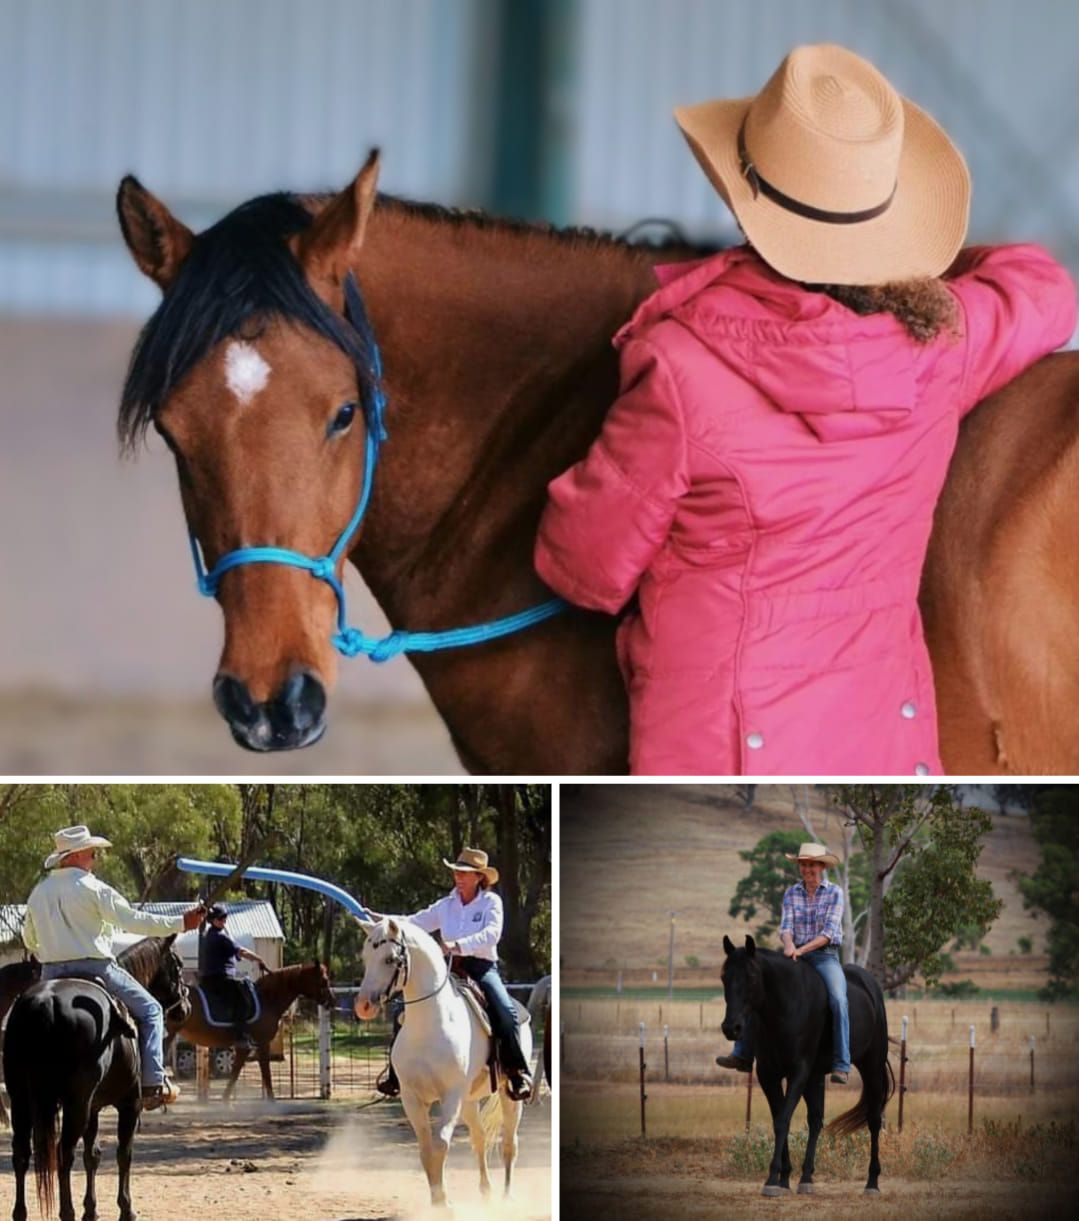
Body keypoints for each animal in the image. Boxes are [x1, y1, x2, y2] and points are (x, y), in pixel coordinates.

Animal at [3, 937, 187, 1221]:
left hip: (22, 1098)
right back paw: (66, 1211)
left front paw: (91, 1209)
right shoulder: (129, 1103)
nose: (186, 1008)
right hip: (74, 1104)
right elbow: (124, 1153)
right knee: (64, 1152)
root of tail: (46, 1003)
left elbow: (93, 1155)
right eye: (177, 965)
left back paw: (20, 1212)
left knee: (22, 1153)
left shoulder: (94, 1107)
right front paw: (126, 1209)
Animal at [175, 957, 332, 1103]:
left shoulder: (245, 1048)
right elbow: (265, 1073)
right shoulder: (262, 1043)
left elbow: (236, 1071)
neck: (267, 999)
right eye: (324, 980)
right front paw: (272, 1101)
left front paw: (225, 1101)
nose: (331, 1001)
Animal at [353, 918, 532, 1206]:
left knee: (509, 1143)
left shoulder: (450, 1096)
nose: (363, 1007)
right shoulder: (412, 1098)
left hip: (508, 1096)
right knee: (479, 1138)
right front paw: (437, 1201)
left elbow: (440, 1145)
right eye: (365, 957)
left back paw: (506, 1196)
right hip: (469, 1101)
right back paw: (486, 1192)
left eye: (391, 959)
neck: (430, 1024)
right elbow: (426, 1150)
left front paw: (444, 1204)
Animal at [722, 937, 893, 1196]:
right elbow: (780, 1118)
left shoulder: (799, 1072)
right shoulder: (768, 1075)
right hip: (816, 1076)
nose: (731, 1028)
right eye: (724, 976)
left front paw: (772, 1179)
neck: (786, 1007)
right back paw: (806, 1178)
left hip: (871, 1067)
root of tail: (871, 986)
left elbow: (782, 1120)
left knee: (873, 1120)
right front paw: (783, 1179)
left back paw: (872, 1183)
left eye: (751, 977)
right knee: (816, 1120)